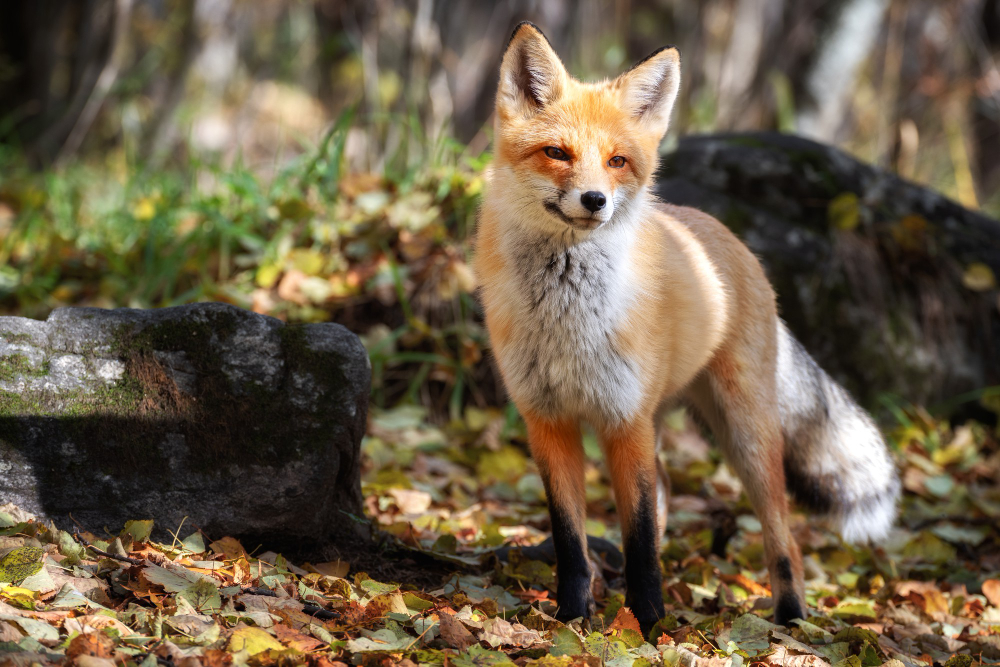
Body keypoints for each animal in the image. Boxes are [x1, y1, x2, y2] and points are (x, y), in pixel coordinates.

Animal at [473, 22, 901, 634]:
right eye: (557, 153)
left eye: (617, 161)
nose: (595, 200)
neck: (568, 320)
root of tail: (728, 239)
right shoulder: (548, 421)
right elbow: (571, 542)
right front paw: (573, 618)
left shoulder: (625, 419)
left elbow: (639, 537)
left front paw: (650, 627)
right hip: (666, 422)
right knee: (668, 494)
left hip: (743, 436)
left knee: (784, 537)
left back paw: (791, 619)